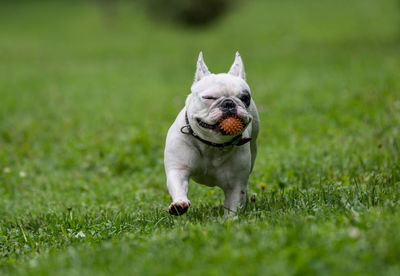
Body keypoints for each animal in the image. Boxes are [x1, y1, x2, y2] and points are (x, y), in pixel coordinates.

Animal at [163, 51, 260, 216]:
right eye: (209, 98)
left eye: (245, 98)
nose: (229, 103)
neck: (212, 144)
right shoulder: (178, 169)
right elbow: (178, 185)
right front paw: (179, 204)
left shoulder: (235, 185)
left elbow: (233, 206)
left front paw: (229, 220)